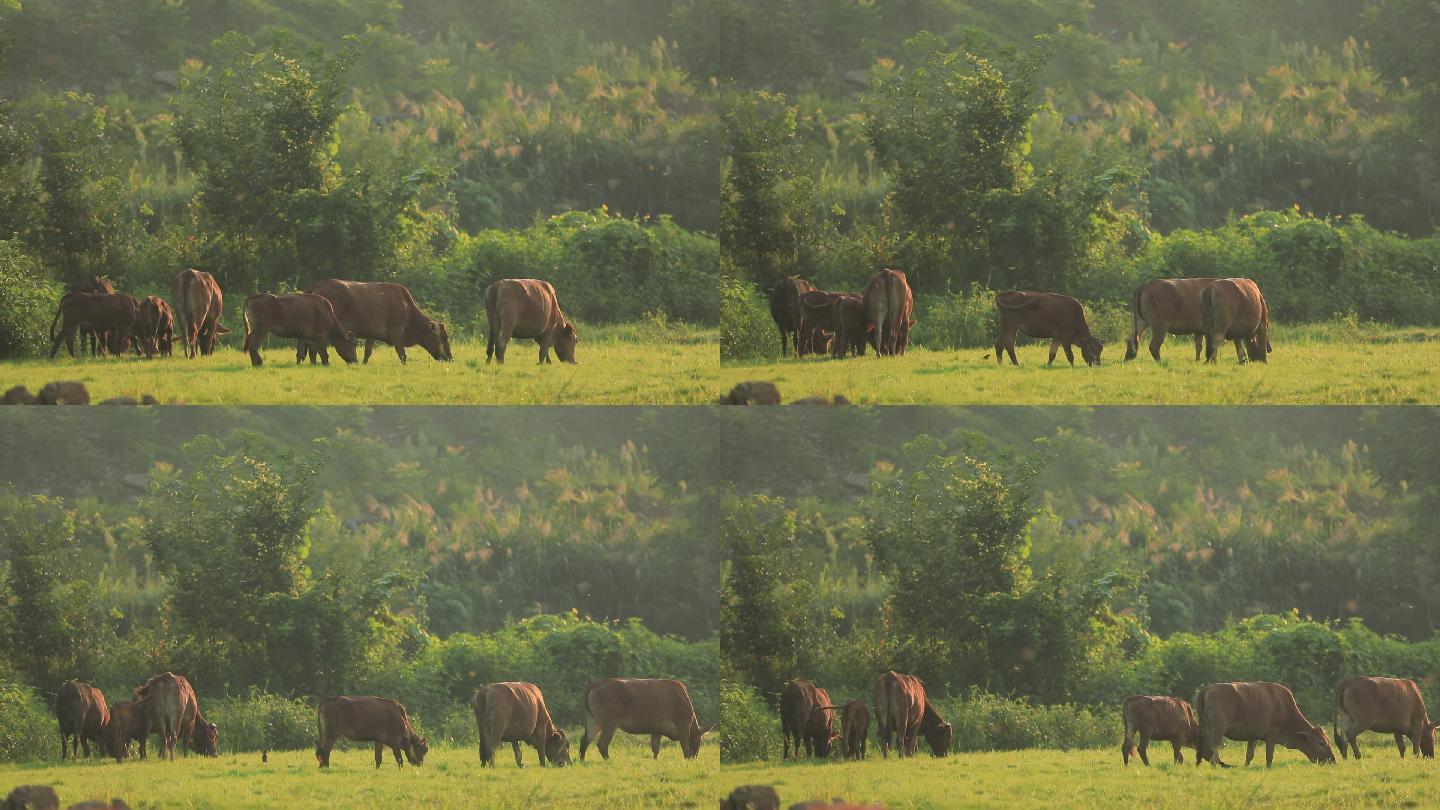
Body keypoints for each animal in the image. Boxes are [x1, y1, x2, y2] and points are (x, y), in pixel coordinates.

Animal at [296, 281, 443, 363]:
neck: (406, 306)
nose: (448, 357)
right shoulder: (397, 331)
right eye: (442, 338)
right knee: (312, 347)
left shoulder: (372, 333)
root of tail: (318, 285)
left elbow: (368, 351)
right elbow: (402, 353)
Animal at [573, 674, 708, 755]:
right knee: (602, 743)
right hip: (609, 723)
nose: (695, 755)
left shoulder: (657, 729)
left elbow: (655, 749)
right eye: (700, 740)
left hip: (593, 720)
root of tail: (596, 685)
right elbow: (685, 748)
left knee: (585, 740)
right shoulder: (683, 724)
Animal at [1192, 677, 1336, 766]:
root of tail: (1206, 689)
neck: (1285, 709)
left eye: (1329, 741)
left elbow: (1249, 755)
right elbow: (1269, 756)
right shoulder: (1271, 737)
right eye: (1321, 743)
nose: (1333, 760)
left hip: (1204, 727)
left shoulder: (1253, 736)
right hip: (1218, 729)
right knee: (1213, 748)